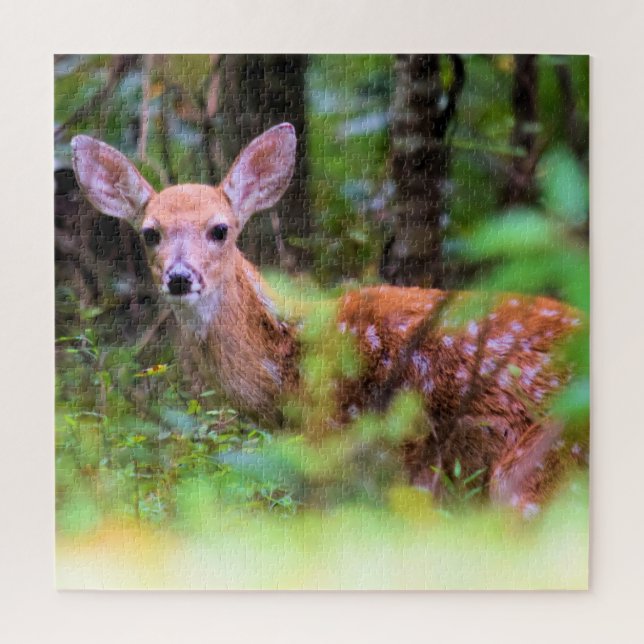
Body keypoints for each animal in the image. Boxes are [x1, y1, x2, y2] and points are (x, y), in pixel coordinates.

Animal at [71, 122, 586, 518]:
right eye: (150, 233)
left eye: (220, 229)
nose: (180, 277)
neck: (290, 365)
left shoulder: (343, 452)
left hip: (534, 470)